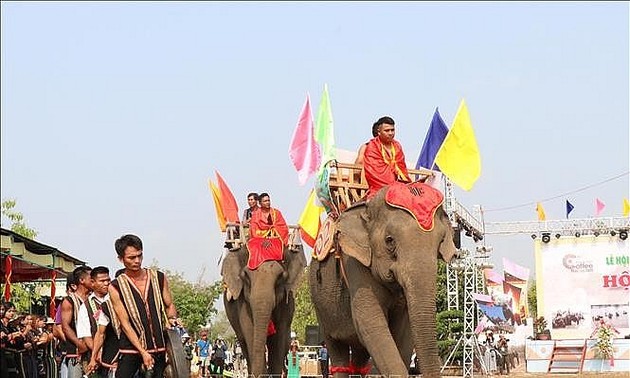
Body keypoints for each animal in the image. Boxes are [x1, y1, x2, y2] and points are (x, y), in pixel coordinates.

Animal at [222, 241, 308, 376]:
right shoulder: (242, 302)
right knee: (244, 346)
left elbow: (278, 337)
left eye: (280, 277)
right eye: (245, 276)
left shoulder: (286, 302)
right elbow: (250, 331)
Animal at [312, 183, 460, 378]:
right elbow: (370, 322)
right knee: (338, 354)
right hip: (320, 306)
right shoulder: (354, 262)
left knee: (359, 355)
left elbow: (404, 330)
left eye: (441, 241)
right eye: (389, 241)